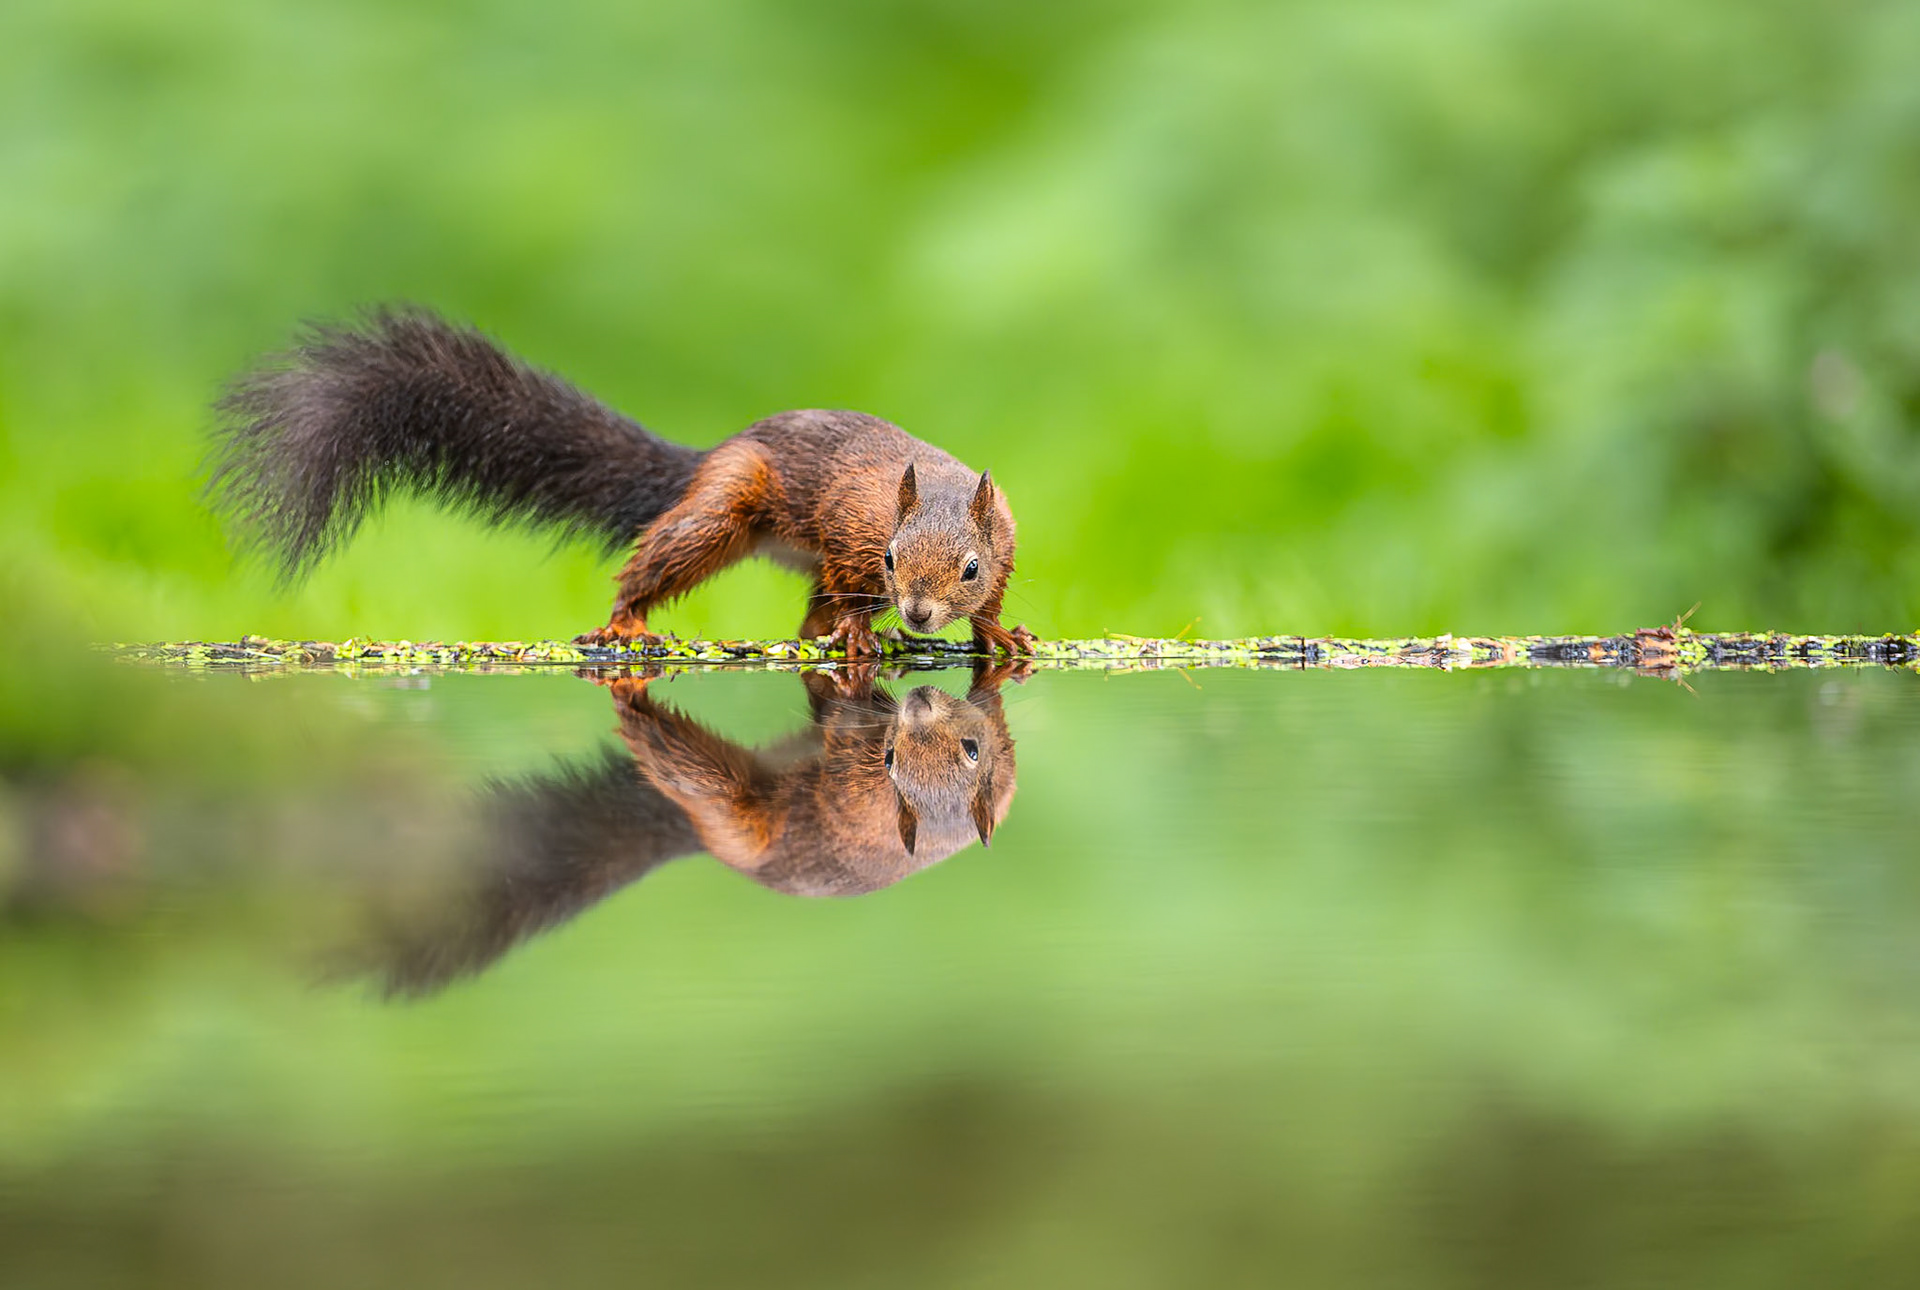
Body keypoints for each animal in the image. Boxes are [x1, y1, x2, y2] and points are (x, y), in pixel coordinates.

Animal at [210, 308, 1038, 656]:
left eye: (970, 567)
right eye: (893, 559)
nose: (920, 613)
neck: (930, 490)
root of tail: (712, 455)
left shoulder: (1008, 536)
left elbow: (994, 602)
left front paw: (999, 631)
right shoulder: (848, 524)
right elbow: (850, 580)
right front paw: (865, 632)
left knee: (807, 615)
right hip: (720, 513)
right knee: (658, 562)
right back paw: (626, 623)